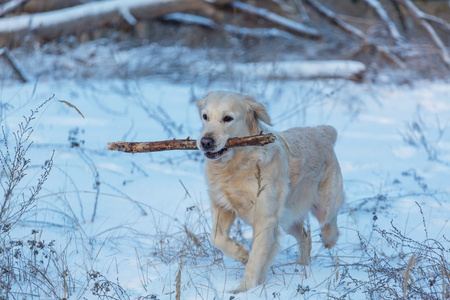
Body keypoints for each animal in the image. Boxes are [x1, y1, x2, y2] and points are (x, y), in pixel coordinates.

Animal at [195, 91, 342, 292]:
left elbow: (256, 258)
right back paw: (301, 266)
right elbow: (216, 237)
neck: (237, 164)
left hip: (323, 201)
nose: (205, 142)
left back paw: (328, 239)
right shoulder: (222, 206)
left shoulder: (265, 218)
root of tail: (321, 131)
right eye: (205, 116)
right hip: (287, 217)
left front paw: (244, 289)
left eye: (228, 118)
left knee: (330, 219)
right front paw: (241, 253)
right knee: (305, 235)